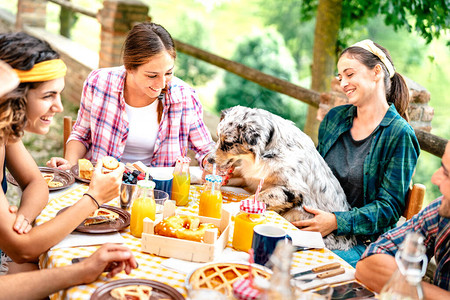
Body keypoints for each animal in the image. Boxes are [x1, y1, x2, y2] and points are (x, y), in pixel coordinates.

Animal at [207, 105, 356, 251]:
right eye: (218, 137)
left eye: (228, 143)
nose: (209, 160)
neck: (268, 152)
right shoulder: (252, 177)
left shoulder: (294, 190)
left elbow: (258, 197)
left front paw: (233, 207)